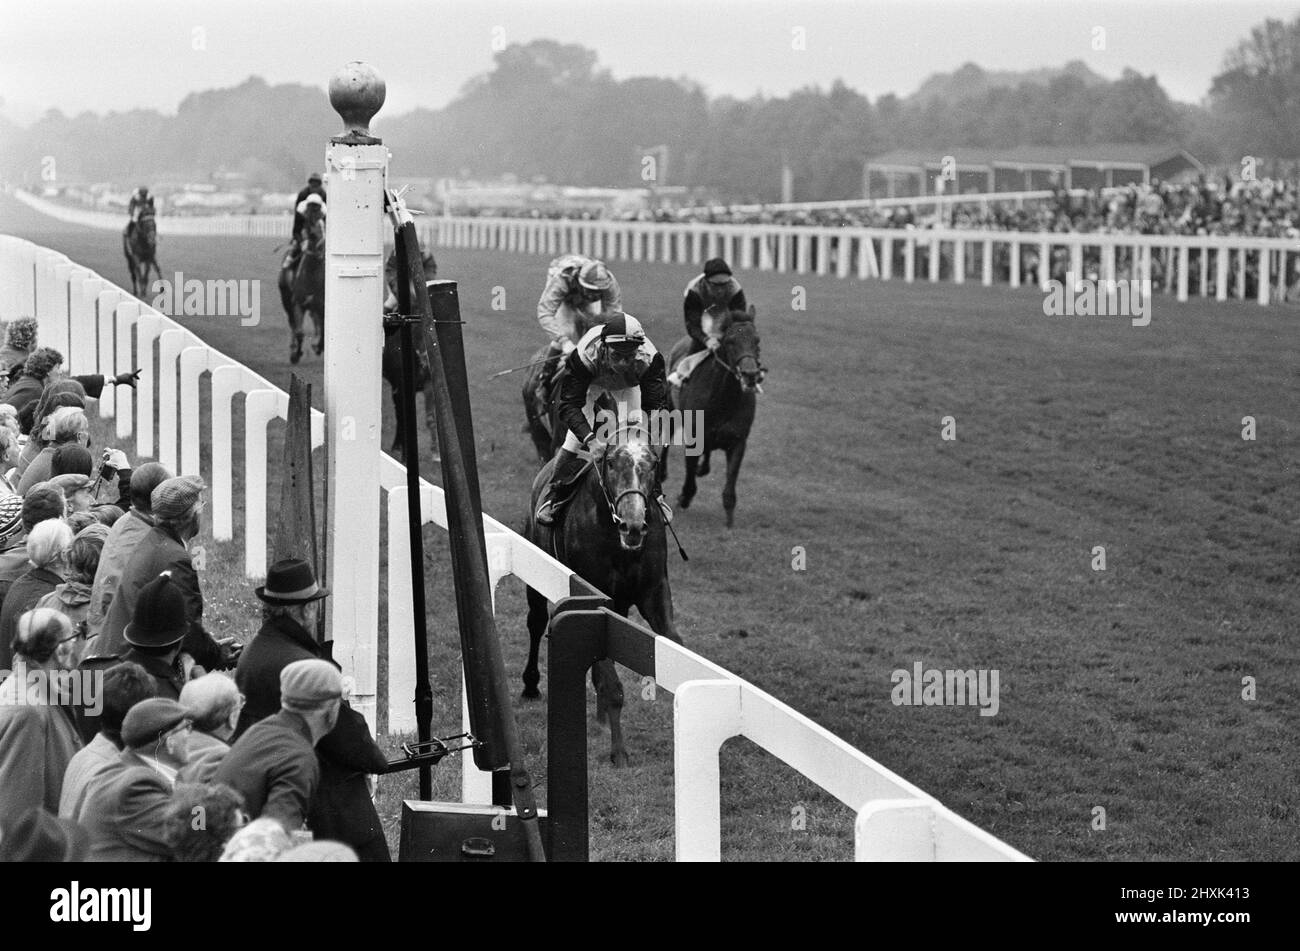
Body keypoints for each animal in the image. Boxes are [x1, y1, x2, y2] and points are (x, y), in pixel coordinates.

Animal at [278, 213, 325, 361]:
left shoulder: (321, 305)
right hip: (286, 299)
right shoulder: (297, 303)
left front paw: (318, 346)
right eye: (313, 233)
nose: (322, 251)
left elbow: (323, 328)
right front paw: (296, 354)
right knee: (293, 323)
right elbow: (299, 331)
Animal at [520, 428, 681, 763]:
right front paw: (618, 751)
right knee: (536, 621)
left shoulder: (654, 594)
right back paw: (531, 685)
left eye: (653, 464)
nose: (634, 525)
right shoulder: (597, 597)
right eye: (611, 464)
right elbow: (612, 682)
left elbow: (674, 645)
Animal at [670, 304, 759, 527]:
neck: (723, 399)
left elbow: (730, 485)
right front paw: (683, 498)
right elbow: (690, 477)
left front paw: (729, 522)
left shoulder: (738, 441)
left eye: (757, 340)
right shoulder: (693, 438)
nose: (750, 374)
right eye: (731, 341)